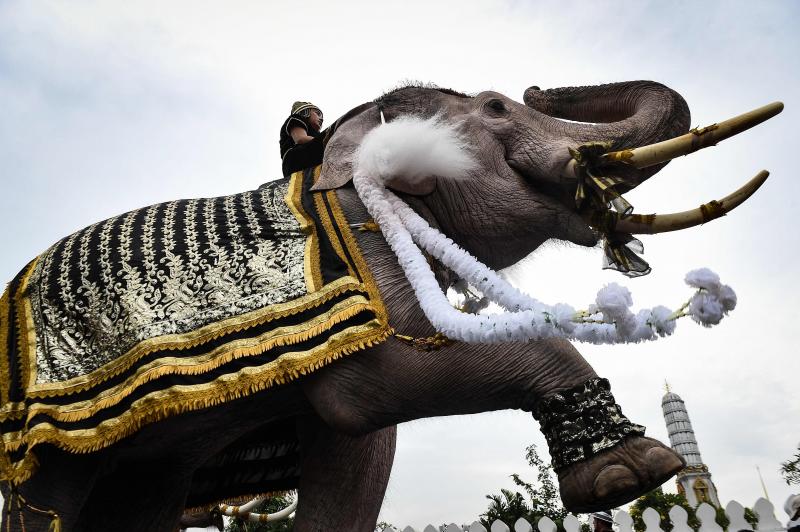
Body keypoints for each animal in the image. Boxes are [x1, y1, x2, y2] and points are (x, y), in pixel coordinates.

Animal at [0, 80, 776, 532]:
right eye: (497, 108)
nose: (541, 85)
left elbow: (360, 446)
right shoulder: (358, 255)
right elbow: (366, 397)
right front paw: (633, 475)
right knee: (49, 502)